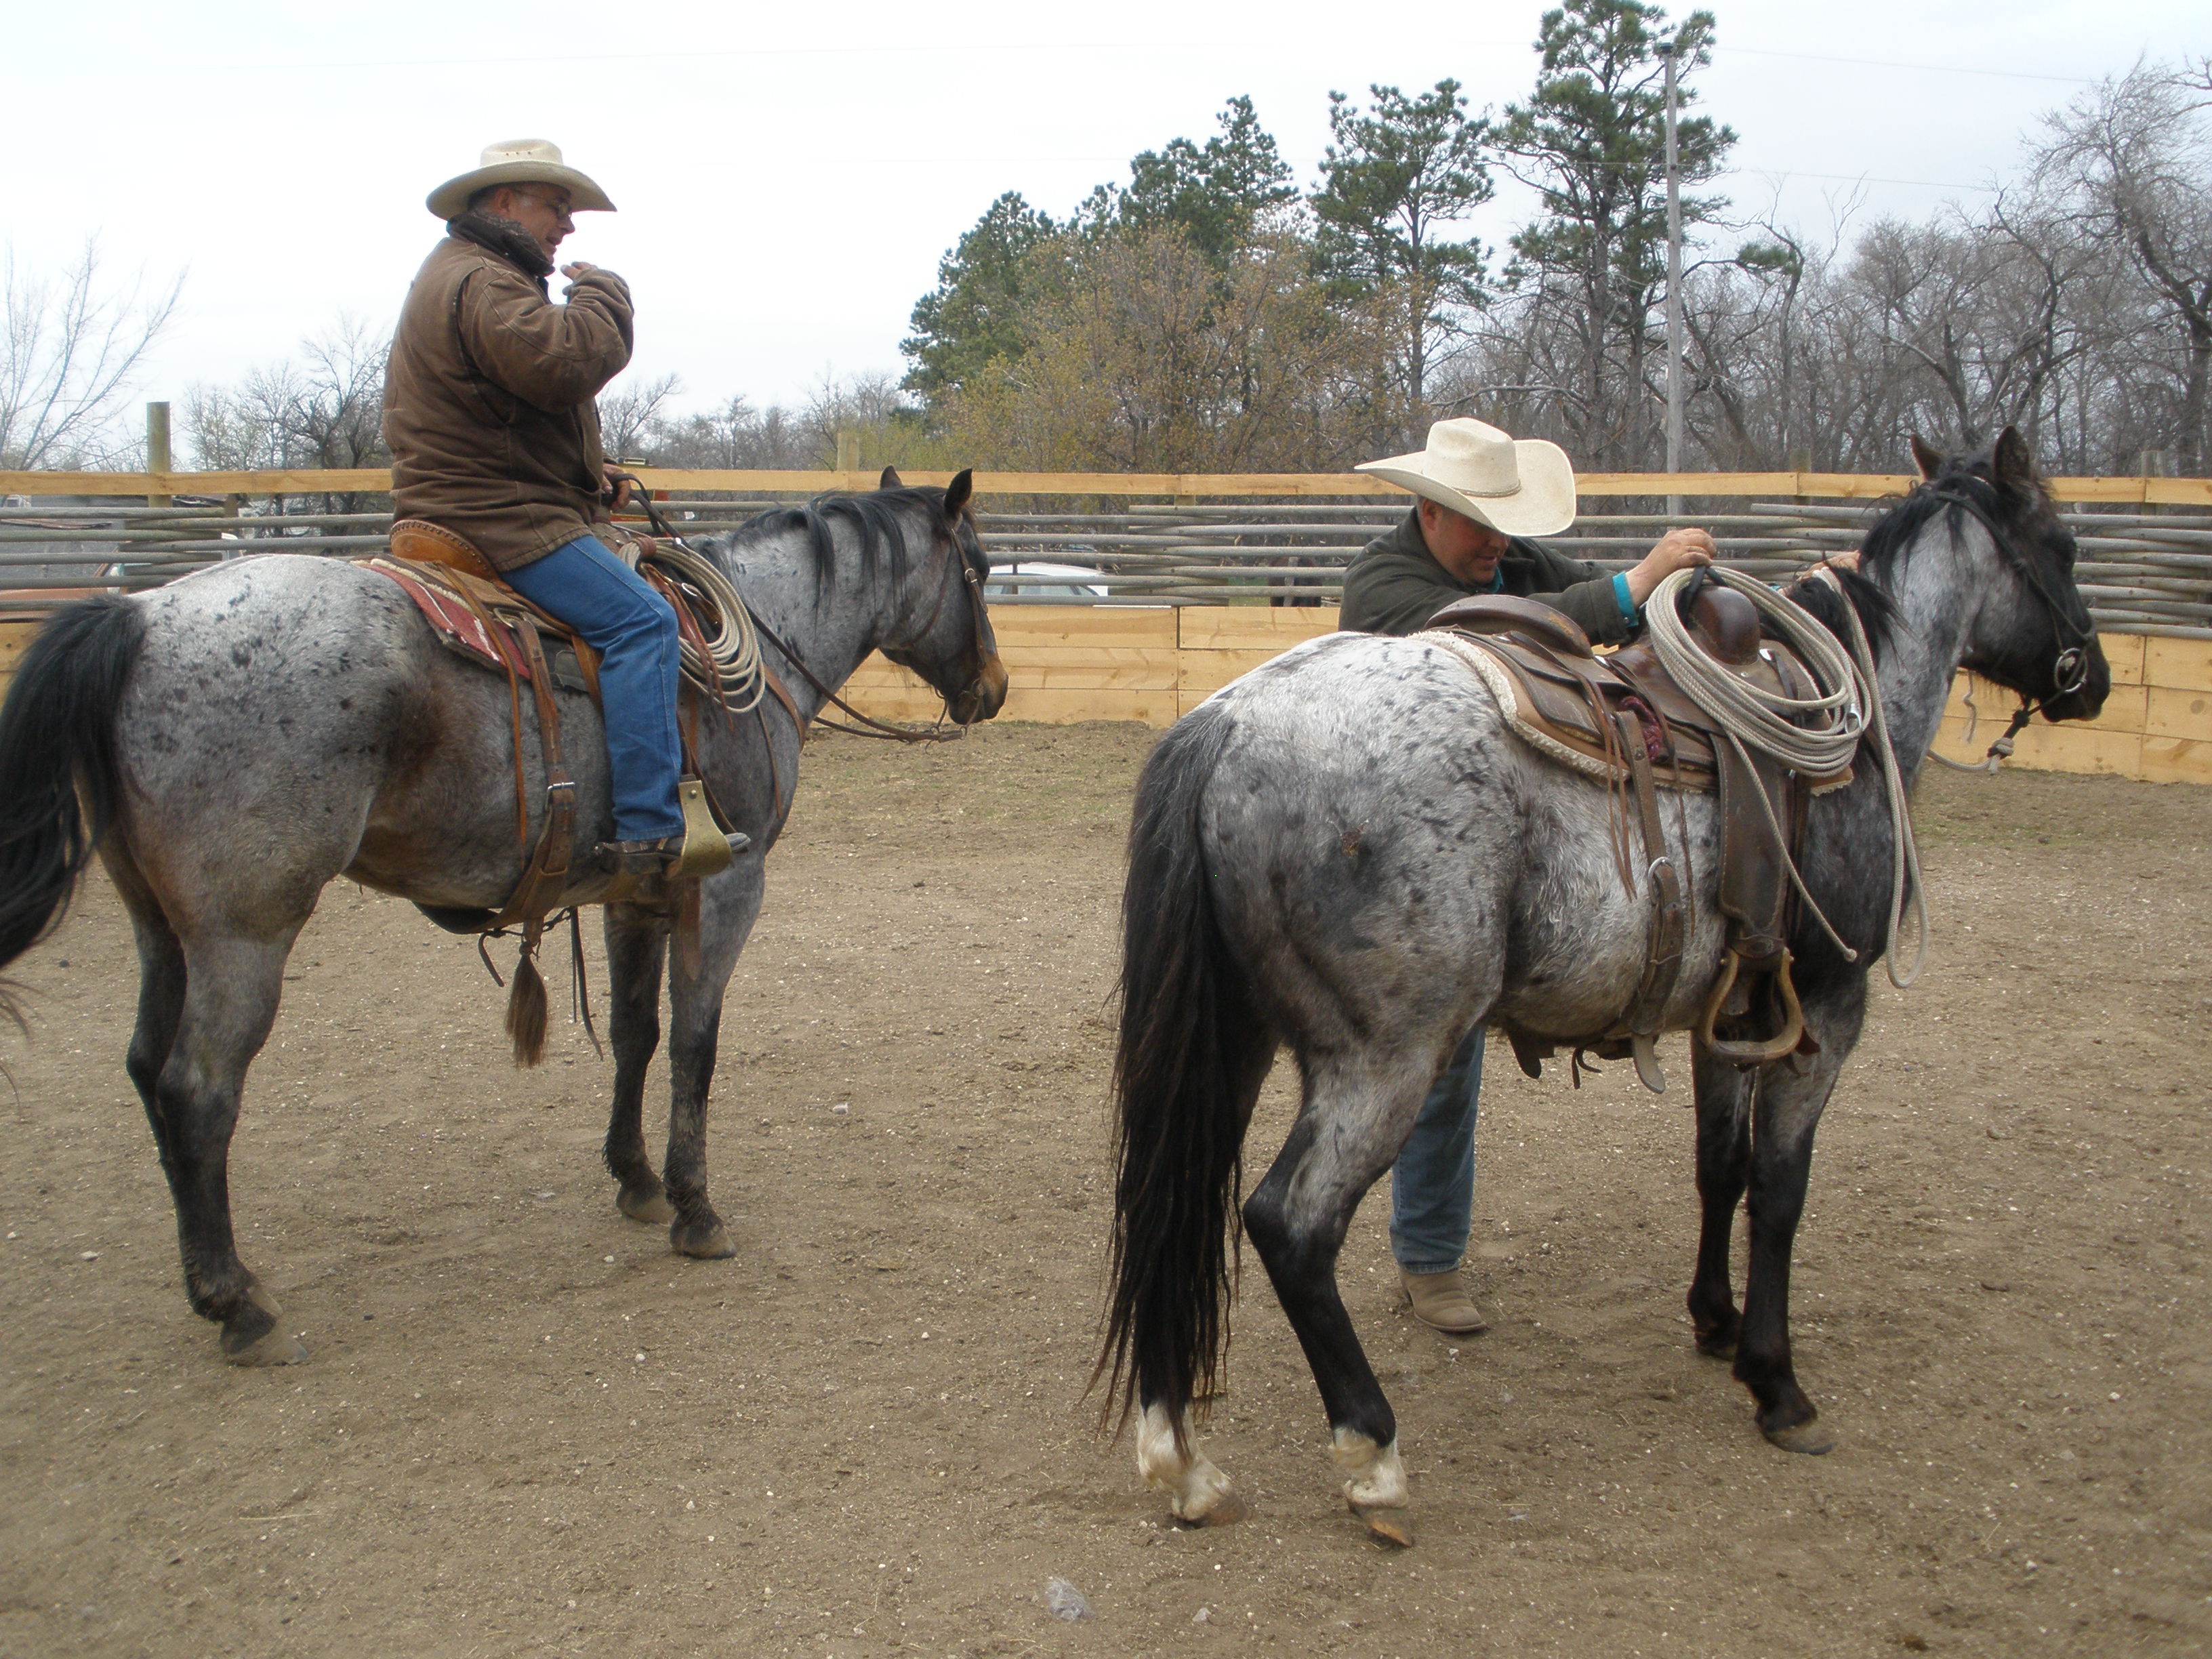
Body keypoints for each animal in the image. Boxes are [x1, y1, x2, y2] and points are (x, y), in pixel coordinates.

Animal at [0, 470, 1006, 1366]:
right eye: (981, 568)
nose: (993, 688)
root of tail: (140, 616)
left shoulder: (636, 894)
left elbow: (635, 1033)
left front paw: (636, 1179)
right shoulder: (726, 887)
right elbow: (695, 1042)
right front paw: (695, 1207)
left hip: (159, 927)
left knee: (144, 1068)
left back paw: (205, 1284)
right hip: (244, 932)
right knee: (198, 1090)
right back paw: (238, 1304)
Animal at [1097, 429, 2109, 1542]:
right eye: (2061, 544)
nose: (2094, 678)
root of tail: (1229, 727)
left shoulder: (1733, 1017)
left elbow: (1722, 1169)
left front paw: (1714, 1323)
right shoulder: (1829, 1010)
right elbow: (1782, 1192)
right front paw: (1778, 1384)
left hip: (1231, 1044)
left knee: (1171, 1199)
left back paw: (1181, 1461)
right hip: (1386, 1059)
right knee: (1291, 1223)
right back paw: (1373, 1456)